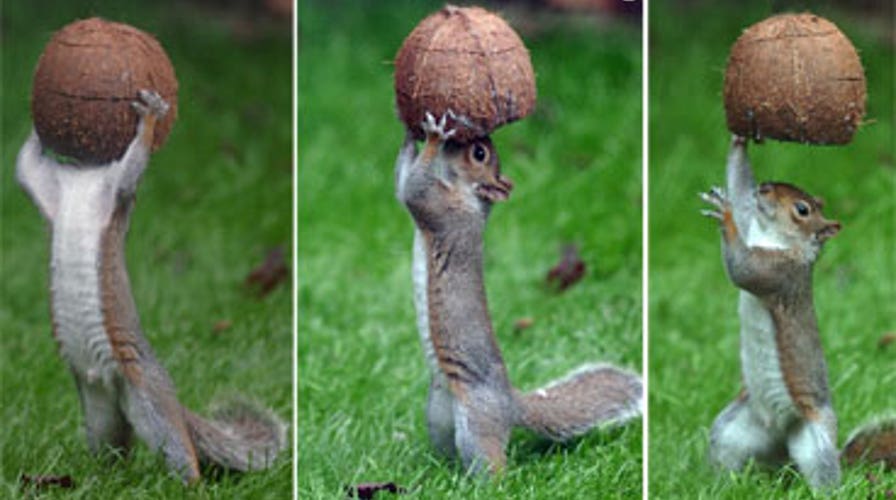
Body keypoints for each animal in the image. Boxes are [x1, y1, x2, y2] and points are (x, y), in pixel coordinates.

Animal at [16, 90, 286, 484]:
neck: (86, 176)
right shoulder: (49, 188)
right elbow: (25, 167)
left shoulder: (118, 191)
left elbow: (133, 165)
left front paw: (150, 118)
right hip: (100, 412)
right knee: (114, 449)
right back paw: (101, 478)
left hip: (148, 399)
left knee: (180, 451)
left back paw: (188, 484)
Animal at [394, 111, 643, 475]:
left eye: (479, 153)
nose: (473, 135)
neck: (472, 199)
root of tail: (511, 405)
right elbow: (401, 183)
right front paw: (409, 136)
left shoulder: (441, 210)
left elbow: (413, 189)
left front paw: (434, 139)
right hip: (439, 415)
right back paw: (437, 470)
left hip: (477, 423)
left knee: (493, 463)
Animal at [700, 135, 895, 490]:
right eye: (766, 186)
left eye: (802, 210)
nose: (764, 187)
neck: (773, 237)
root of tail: (780, 438)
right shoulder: (753, 220)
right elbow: (741, 189)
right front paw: (739, 142)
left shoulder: (779, 275)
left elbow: (742, 269)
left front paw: (726, 217)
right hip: (735, 428)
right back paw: (719, 484)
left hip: (814, 438)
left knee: (823, 471)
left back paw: (827, 490)